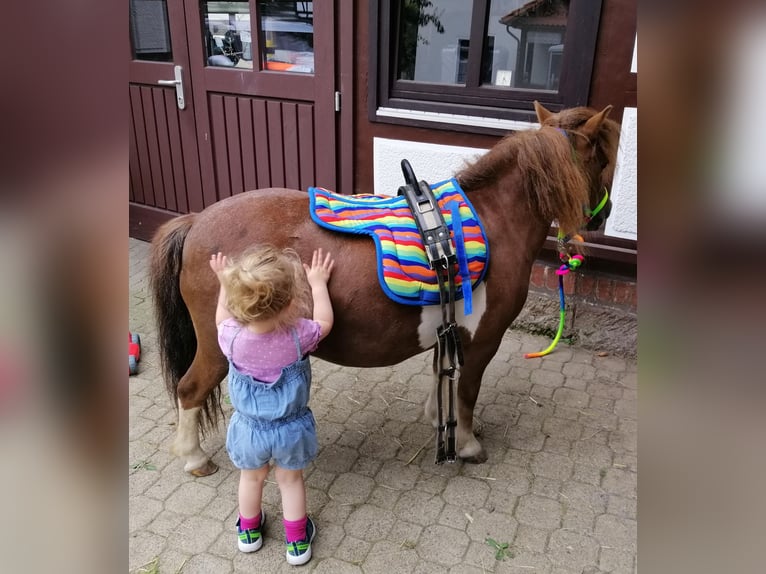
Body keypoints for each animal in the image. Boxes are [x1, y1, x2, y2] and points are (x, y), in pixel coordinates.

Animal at [152, 102, 624, 476]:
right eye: (604, 160)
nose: (604, 215)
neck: (494, 220)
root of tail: (196, 221)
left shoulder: (449, 330)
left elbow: (441, 374)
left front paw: (438, 420)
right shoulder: (483, 338)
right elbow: (467, 391)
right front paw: (468, 444)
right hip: (218, 346)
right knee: (189, 390)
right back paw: (194, 458)